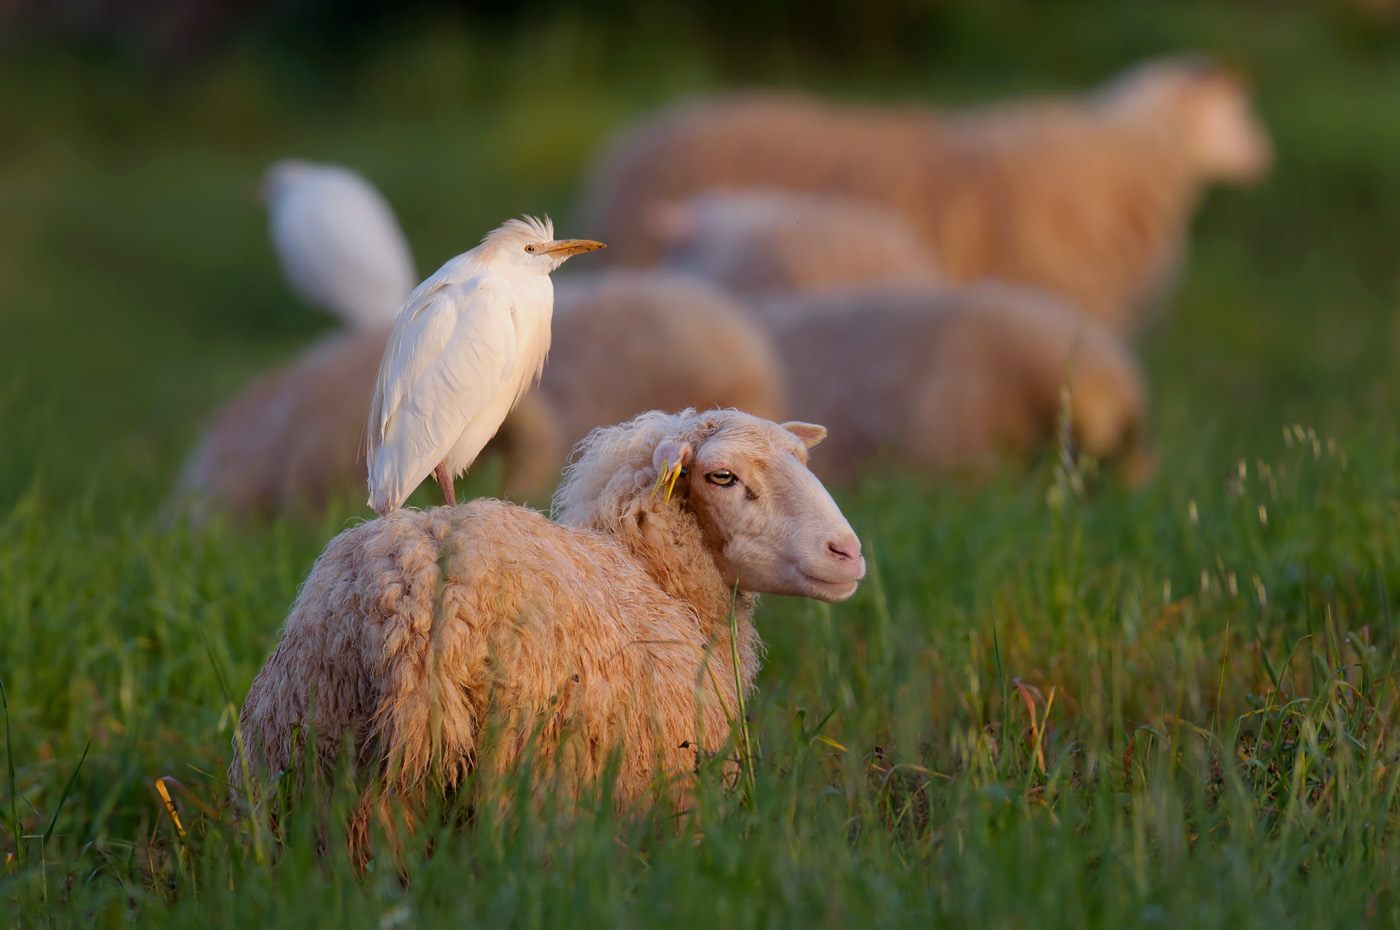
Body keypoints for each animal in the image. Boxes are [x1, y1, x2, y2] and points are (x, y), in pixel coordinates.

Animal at [229, 411, 862, 851]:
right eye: (722, 476)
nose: (848, 552)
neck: (652, 574)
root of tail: (416, 587)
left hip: (327, 773)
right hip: (530, 775)